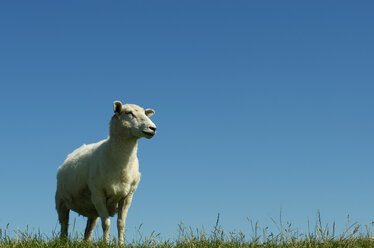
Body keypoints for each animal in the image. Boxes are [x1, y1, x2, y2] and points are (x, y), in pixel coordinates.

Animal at [54, 101, 157, 244]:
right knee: (64, 224)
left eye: (145, 113)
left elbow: (121, 223)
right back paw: (63, 241)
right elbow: (106, 224)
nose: (153, 128)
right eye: (129, 113)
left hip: (91, 207)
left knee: (89, 229)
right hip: (61, 200)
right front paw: (106, 243)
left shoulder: (127, 196)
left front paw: (121, 244)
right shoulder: (99, 193)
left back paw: (88, 243)